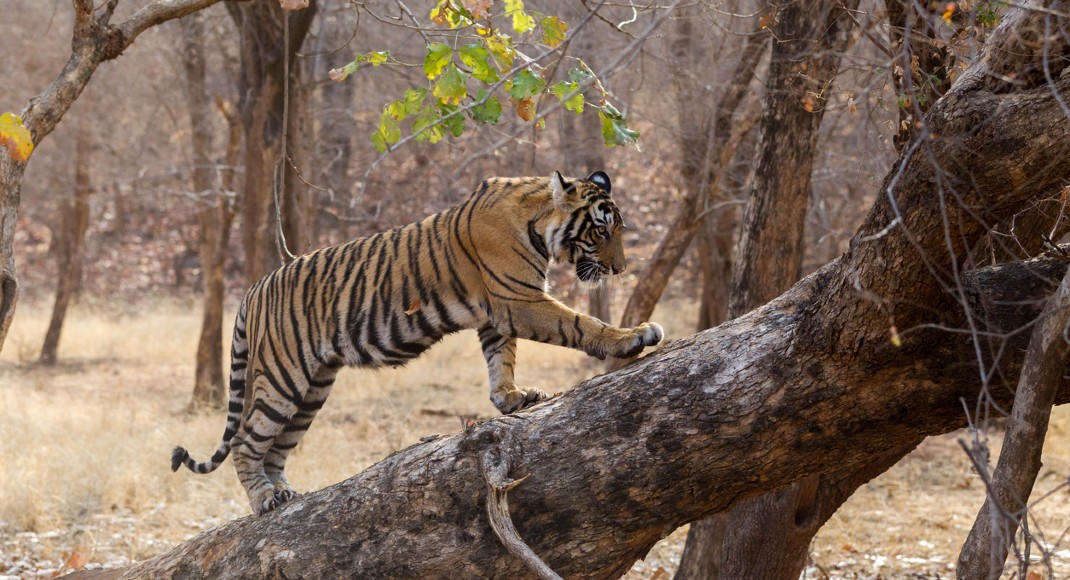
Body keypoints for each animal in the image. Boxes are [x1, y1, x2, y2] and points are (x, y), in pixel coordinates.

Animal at [171, 170, 664, 515]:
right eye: (602, 231)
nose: (621, 268)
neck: (538, 220)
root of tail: (253, 289)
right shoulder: (518, 300)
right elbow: (581, 323)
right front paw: (632, 337)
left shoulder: (497, 314)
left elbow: (500, 359)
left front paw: (511, 398)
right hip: (281, 378)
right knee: (246, 441)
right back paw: (263, 500)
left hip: (312, 390)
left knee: (275, 447)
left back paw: (283, 493)